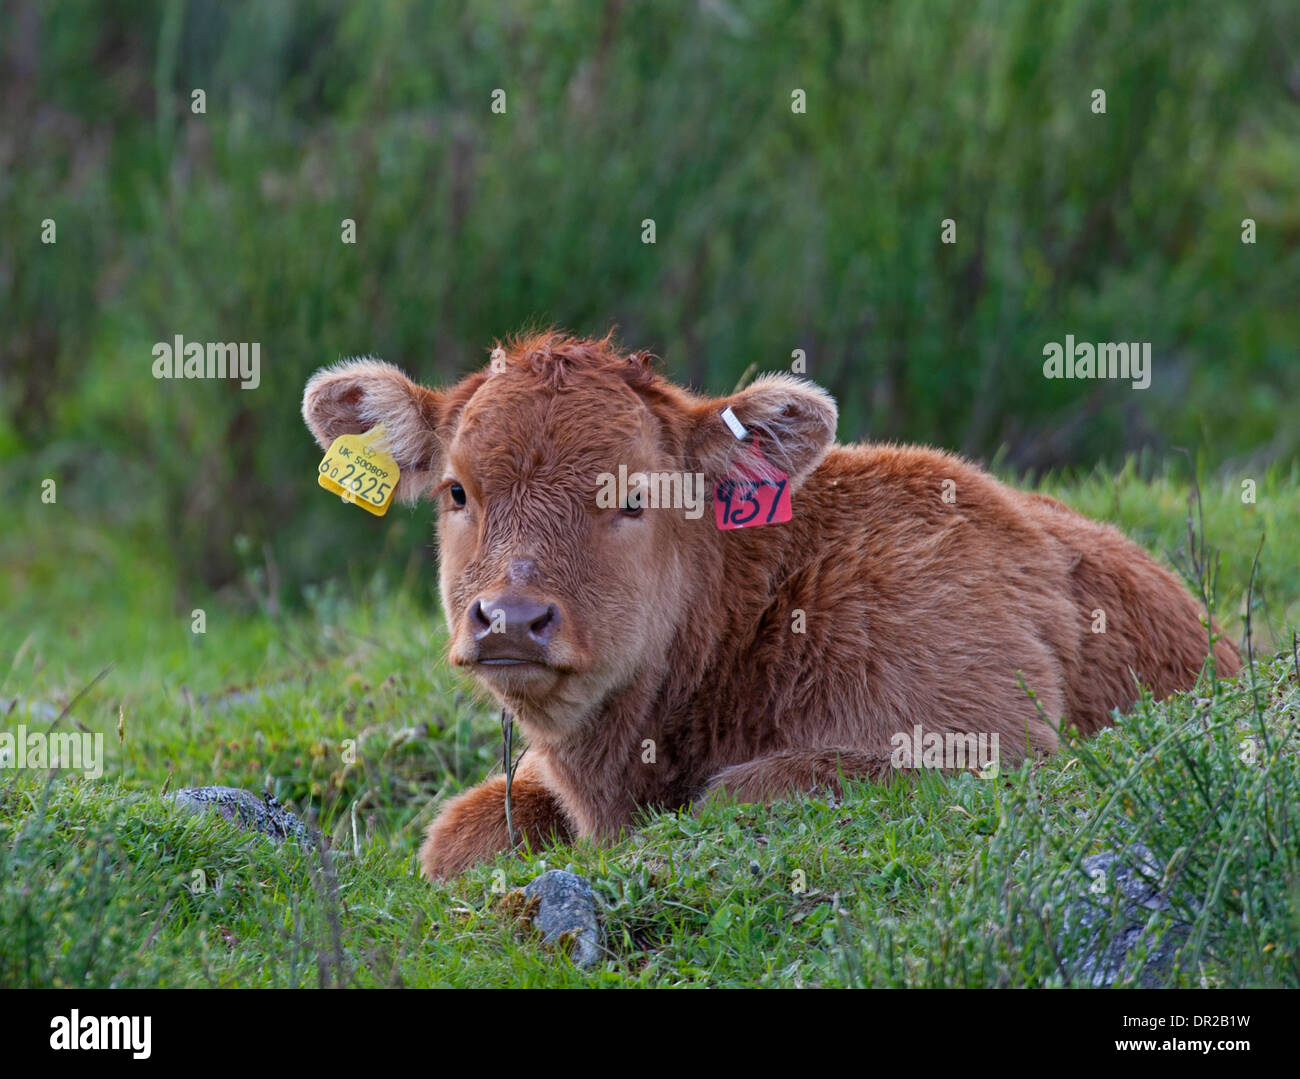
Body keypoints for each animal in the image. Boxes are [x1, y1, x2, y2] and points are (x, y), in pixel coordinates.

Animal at [302, 331, 1241, 879]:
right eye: (458, 490)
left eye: (634, 495)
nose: (511, 618)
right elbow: (459, 836)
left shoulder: (981, 734)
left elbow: (736, 796)